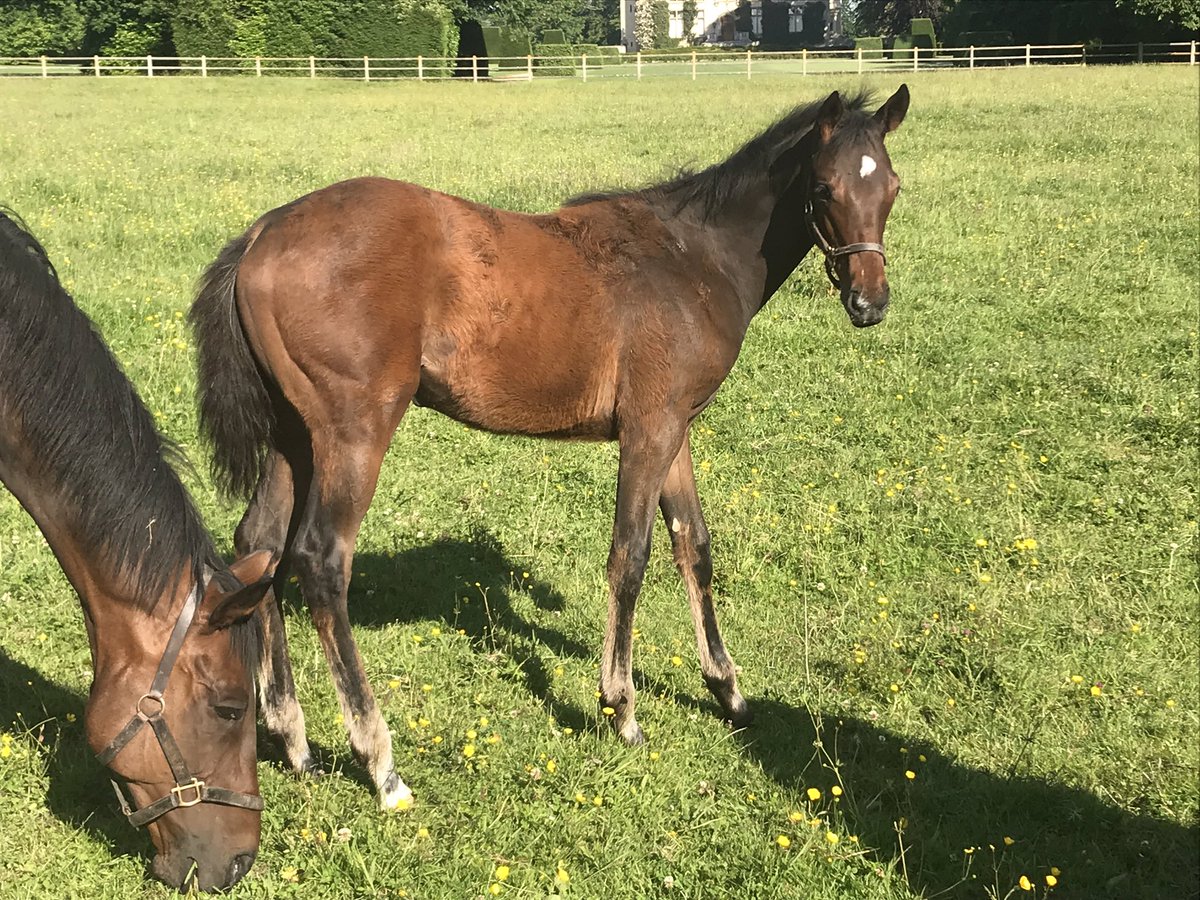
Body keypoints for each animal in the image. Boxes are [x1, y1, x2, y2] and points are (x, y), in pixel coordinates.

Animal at [189, 85, 910, 809]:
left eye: (893, 186)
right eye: (823, 188)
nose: (870, 303)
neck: (692, 257)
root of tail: (261, 234)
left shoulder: (676, 427)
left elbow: (694, 547)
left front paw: (728, 692)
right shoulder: (649, 430)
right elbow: (631, 556)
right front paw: (622, 710)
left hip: (295, 435)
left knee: (260, 543)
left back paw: (294, 741)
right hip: (354, 430)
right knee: (319, 559)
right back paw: (381, 764)